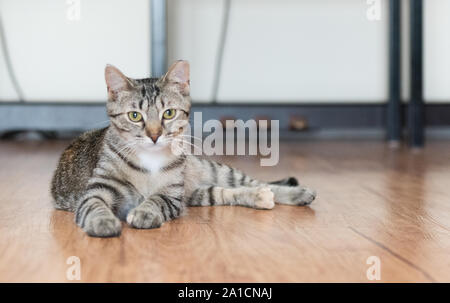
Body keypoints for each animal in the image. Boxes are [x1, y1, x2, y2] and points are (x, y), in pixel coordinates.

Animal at [50, 61, 316, 238]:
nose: (154, 135)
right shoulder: (99, 189)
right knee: (221, 193)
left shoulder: (171, 195)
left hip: (210, 172)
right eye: (135, 116)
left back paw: (295, 193)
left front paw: (146, 212)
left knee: (253, 182)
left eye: (169, 113)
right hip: (196, 193)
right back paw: (259, 197)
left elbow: (156, 200)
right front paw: (103, 222)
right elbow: (94, 205)